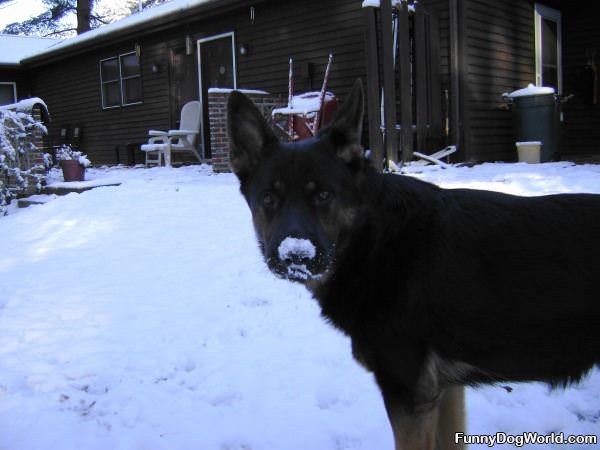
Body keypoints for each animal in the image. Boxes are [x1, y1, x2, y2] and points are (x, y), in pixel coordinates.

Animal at [226, 79, 600, 448]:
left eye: (323, 195)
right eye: (268, 198)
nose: (296, 257)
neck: (373, 241)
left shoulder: (408, 394)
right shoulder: (445, 392)